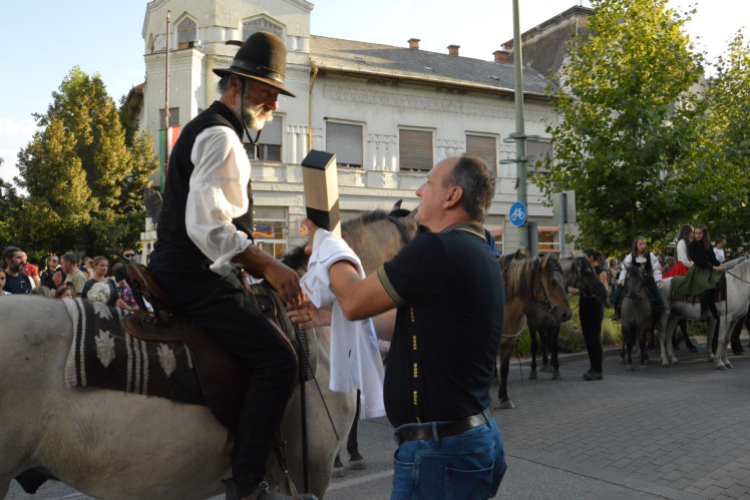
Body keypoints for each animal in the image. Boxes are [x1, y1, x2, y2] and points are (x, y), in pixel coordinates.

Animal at [500, 256, 576, 408]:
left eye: (564, 282)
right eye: (552, 282)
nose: (567, 314)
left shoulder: (508, 344)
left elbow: (504, 369)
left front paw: (504, 398)